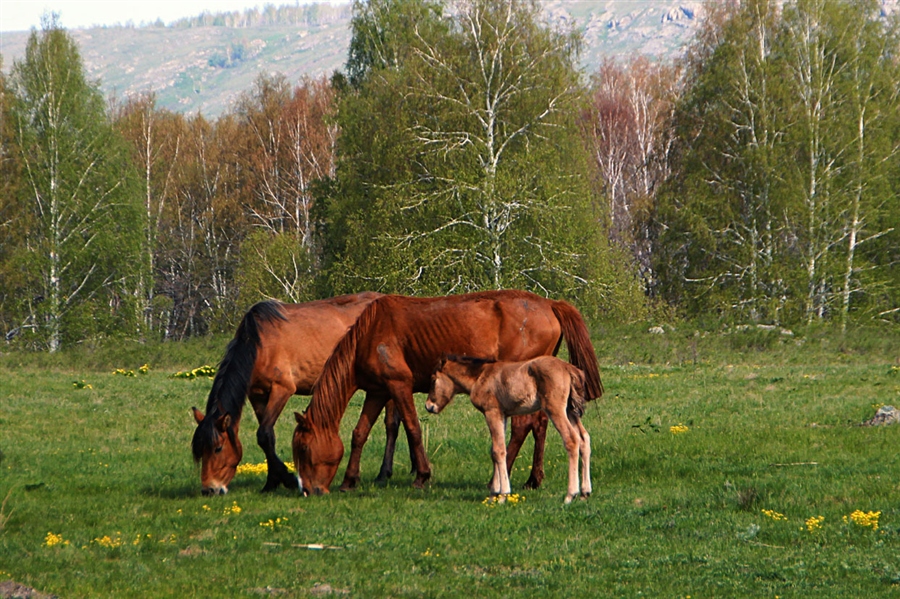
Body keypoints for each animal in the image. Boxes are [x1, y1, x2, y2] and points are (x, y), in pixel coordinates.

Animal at [192, 292, 402, 494]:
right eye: (200, 451)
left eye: (218, 448)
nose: (209, 490)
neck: (260, 344)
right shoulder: (257, 395)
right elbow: (268, 438)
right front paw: (272, 482)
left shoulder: (281, 389)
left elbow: (264, 434)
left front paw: (288, 479)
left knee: (391, 425)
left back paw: (383, 474)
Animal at [428, 358, 592, 504]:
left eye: (433, 379)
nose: (429, 406)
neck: (480, 376)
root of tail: (568, 368)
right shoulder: (503, 416)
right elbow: (497, 450)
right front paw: (493, 494)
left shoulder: (492, 412)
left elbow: (498, 450)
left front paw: (503, 495)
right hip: (570, 410)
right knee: (584, 438)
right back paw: (585, 492)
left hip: (555, 409)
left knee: (571, 439)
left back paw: (570, 495)